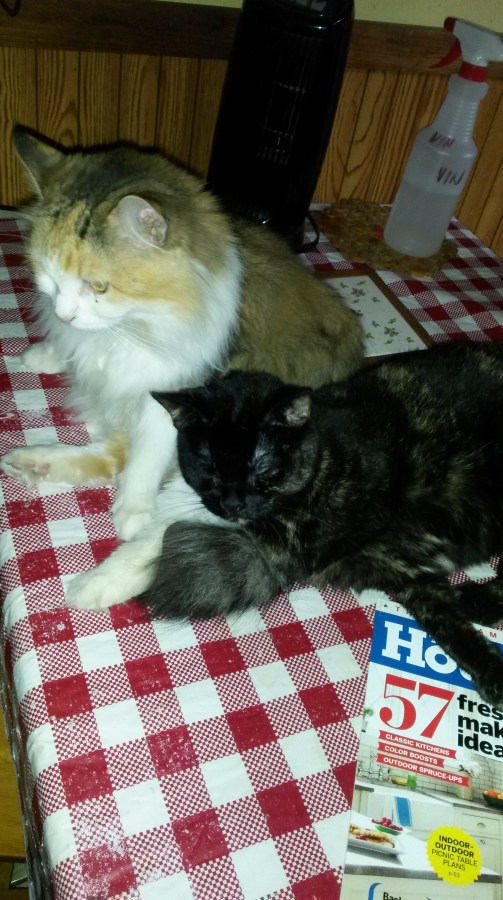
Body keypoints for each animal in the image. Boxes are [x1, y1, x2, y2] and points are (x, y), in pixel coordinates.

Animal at [0, 126, 362, 574]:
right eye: (48, 279)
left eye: (98, 287)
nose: (64, 315)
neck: (140, 321)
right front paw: (47, 353)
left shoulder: (172, 390)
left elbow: (146, 455)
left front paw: (134, 510)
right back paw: (32, 461)